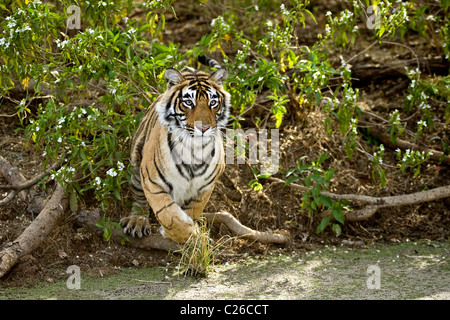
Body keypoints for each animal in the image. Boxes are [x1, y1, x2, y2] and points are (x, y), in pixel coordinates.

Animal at [119, 57, 230, 242]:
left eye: (213, 103)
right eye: (188, 102)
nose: (204, 128)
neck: (194, 150)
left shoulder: (205, 188)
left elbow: (193, 211)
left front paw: (195, 235)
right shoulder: (153, 183)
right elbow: (168, 215)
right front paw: (180, 233)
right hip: (136, 165)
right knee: (139, 200)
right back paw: (137, 221)